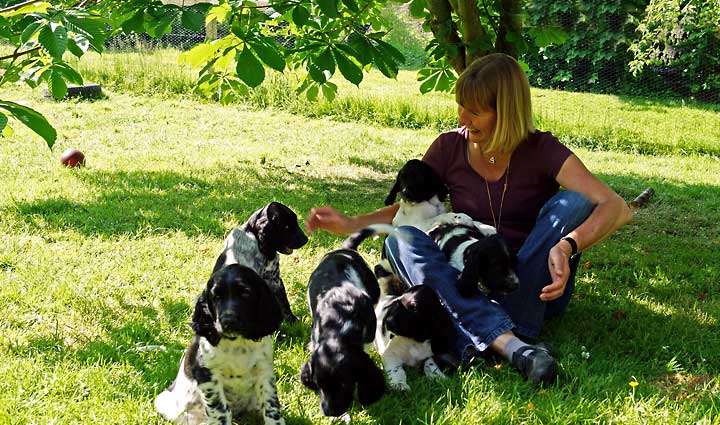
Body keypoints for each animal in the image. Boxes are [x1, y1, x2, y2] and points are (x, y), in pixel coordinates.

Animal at [154, 264, 285, 425]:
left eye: (245, 293)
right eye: (216, 297)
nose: (228, 321)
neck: (237, 342)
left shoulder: (264, 371)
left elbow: (271, 408)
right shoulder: (207, 375)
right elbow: (221, 411)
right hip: (164, 402)